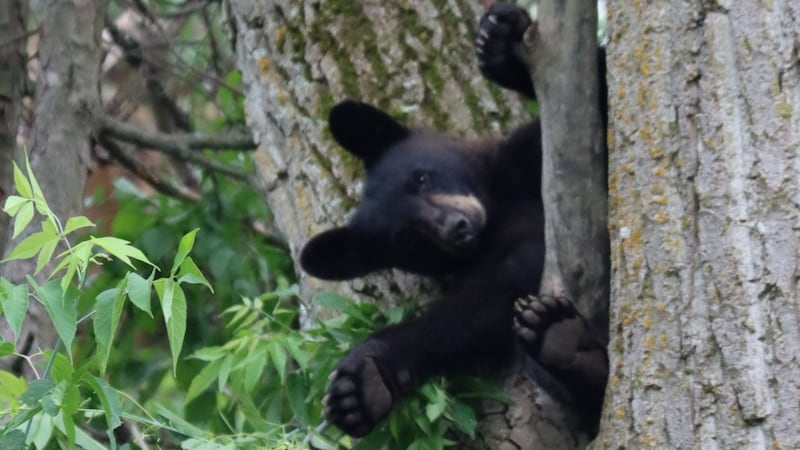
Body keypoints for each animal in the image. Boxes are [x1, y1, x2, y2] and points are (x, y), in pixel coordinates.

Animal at [299, 2, 608, 438]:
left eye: (421, 178)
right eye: (406, 239)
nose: (458, 227)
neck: (497, 208)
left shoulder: (529, 162)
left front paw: (500, 46)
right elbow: (480, 303)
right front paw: (365, 385)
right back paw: (567, 344)